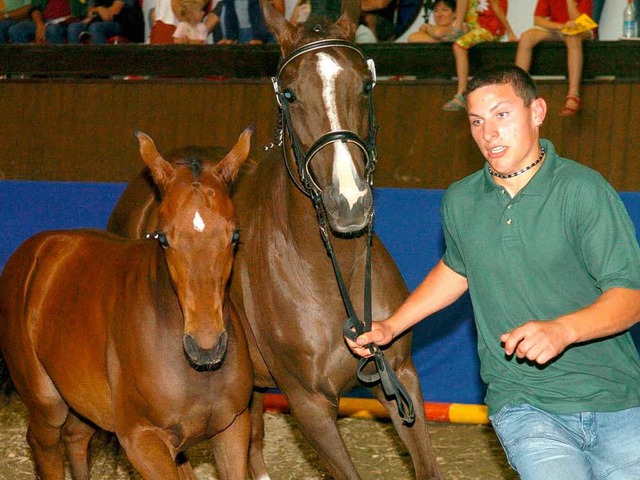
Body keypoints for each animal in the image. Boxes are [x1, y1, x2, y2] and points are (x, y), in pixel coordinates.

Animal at [0, 127, 255, 480]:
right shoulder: (142, 441)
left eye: (234, 235)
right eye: (163, 237)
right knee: (44, 447)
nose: (206, 347)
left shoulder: (232, 429)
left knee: (75, 437)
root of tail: (33, 252)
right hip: (46, 402)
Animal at [106, 1, 444, 478]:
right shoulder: (309, 404)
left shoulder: (399, 375)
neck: (330, 270)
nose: (349, 201)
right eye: (289, 94)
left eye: (365, 85)